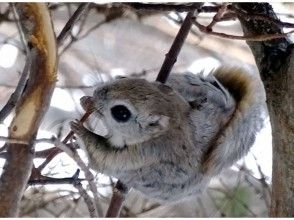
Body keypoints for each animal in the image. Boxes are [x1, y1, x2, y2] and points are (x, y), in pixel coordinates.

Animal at [70, 66, 266, 201]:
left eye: (121, 113)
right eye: (125, 78)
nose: (96, 92)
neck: (173, 120)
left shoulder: (144, 154)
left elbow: (102, 158)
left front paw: (80, 130)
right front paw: (86, 101)